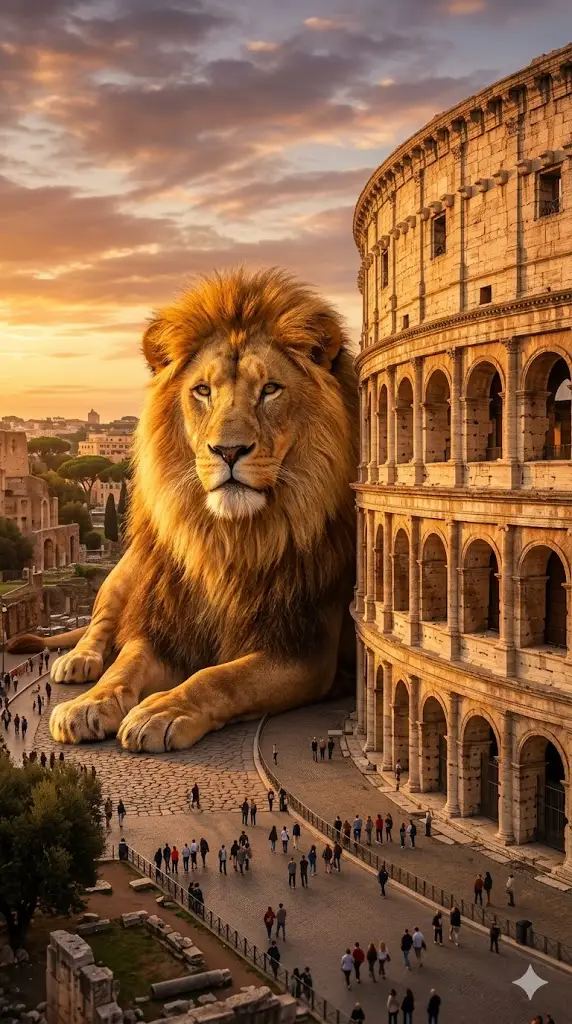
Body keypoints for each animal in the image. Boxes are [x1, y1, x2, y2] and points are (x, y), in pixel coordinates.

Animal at [10, 268, 358, 751]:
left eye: (270, 389)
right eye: (202, 391)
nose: (228, 451)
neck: (230, 540)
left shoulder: (304, 652)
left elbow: (220, 677)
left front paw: (162, 710)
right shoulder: (165, 627)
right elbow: (126, 662)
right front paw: (91, 703)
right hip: (127, 572)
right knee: (100, 626)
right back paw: (79, 661)